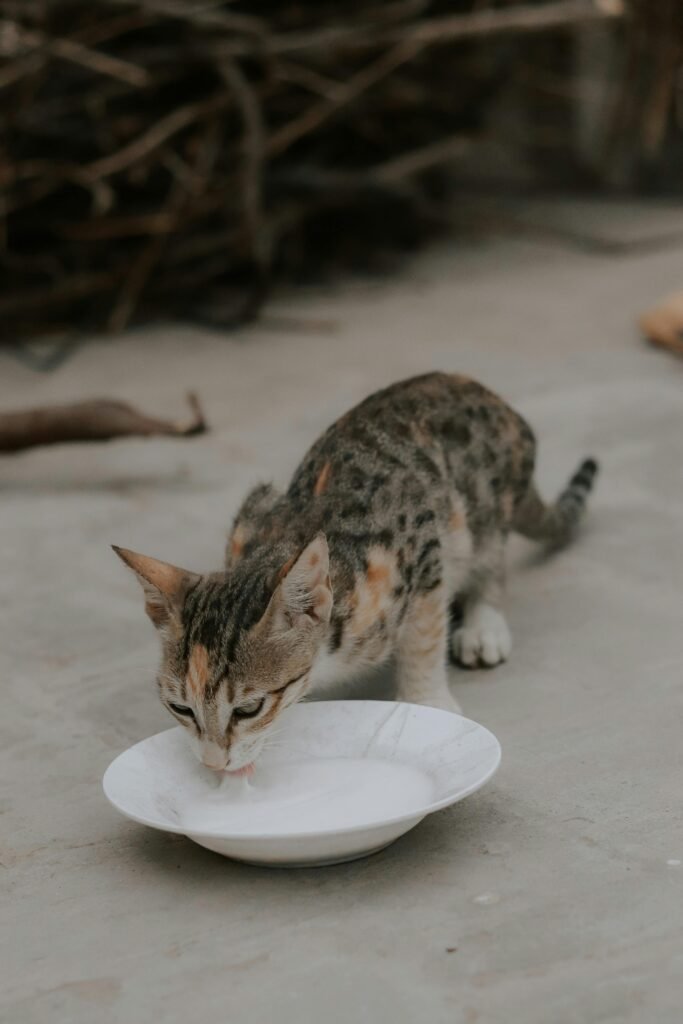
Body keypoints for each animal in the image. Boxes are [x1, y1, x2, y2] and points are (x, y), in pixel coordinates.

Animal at [113, 372, 598, 770]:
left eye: (249, 709)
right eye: (181, 709)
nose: (214, 762)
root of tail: (496, 401)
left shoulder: (421, 547)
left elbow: (424, 637)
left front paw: (427, 700)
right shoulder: (251, 513)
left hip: (477, 510)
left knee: (491, 555)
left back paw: (484, 623)